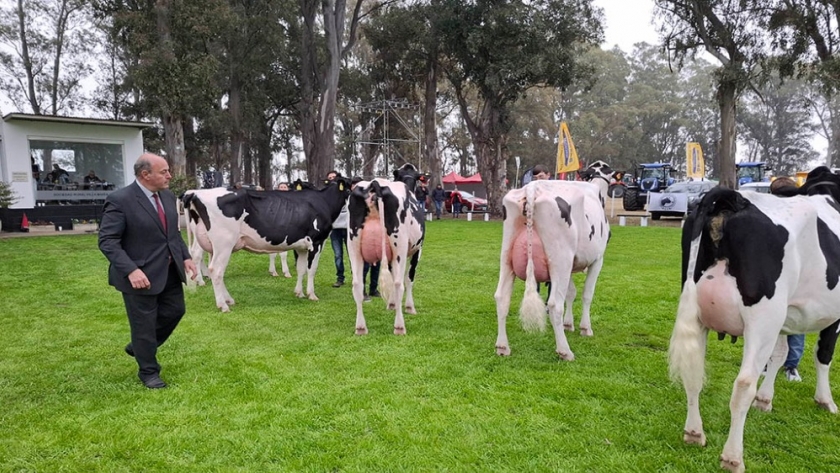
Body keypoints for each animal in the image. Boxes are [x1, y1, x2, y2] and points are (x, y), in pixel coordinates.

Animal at [184, 179, 352, 312]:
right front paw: (312, 294)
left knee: (209, 265)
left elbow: (301, 269)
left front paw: (299, 292)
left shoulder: (301, 246)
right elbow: (311, 270)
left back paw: (227, 299)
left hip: (211, 243)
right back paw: (223, 305)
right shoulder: (317, 242)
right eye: (351, 187)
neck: (324, 202)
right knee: (216, 270)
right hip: (223, 244)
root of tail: (196, 194)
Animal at [346, 164, 424, 334]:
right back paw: (399, 326)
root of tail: (374, 183)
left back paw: (360, 327)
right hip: (399, 246)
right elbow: (409, 278)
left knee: (357, 284)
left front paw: (392, 304)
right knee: (398, 283)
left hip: (353, 247)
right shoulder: (418, 250)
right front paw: (409, 307)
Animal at [492, 159, 616, 358]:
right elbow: (586, 294)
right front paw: (585, 328)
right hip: (560, 259)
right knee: (554, 304)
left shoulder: (572, 264)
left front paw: (568, 324)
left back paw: (502, 347)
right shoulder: (598, 259)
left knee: (502, 297)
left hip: (507, 255)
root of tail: (532, 187)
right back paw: (565, 351)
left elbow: (571, 293)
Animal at [672, 165, 840, 468]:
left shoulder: (785, 320)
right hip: (762, 319)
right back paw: (733, 458)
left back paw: (694, 433)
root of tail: (733, 199)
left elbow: (780, 355)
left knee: (693, 373)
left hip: (701, 313)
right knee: (743, 384)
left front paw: (765, 400)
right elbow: (823, 355)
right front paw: (825, 401)